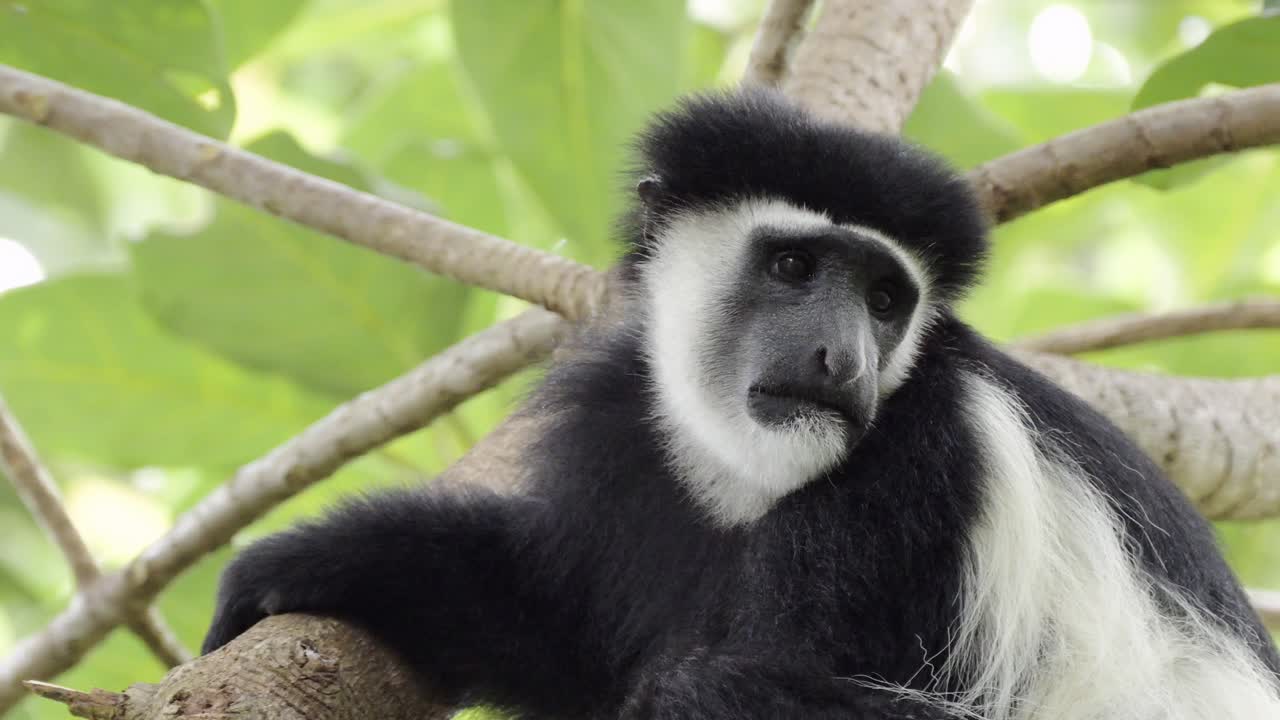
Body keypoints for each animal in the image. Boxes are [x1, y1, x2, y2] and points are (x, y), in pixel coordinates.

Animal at [203, 88, 1280, 719]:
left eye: (884, 299)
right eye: (794, 266)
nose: (841, 359)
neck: (749, 478)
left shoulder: (918, 476)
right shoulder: (622, 438)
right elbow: (558, 626)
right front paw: (315, 562)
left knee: (707, 691)